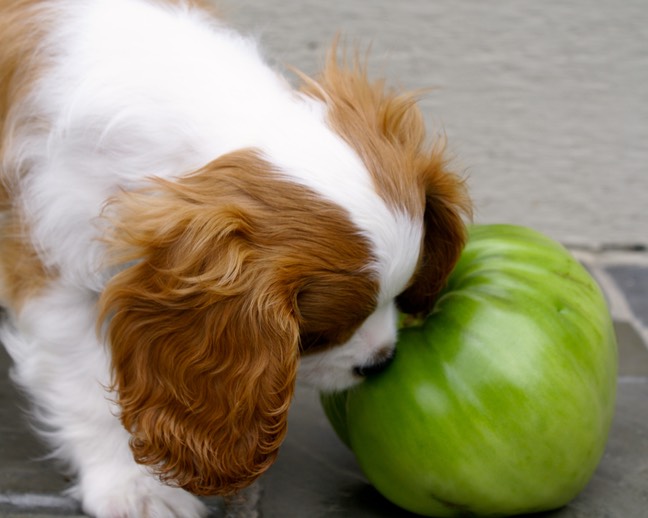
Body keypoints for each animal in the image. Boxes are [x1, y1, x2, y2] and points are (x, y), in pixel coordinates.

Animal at [0, 1, 470, 516]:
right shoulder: (48, 252)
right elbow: (82, 379)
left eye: (401, 296)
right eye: (314, 335)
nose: (380, 362)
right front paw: (131, 485)